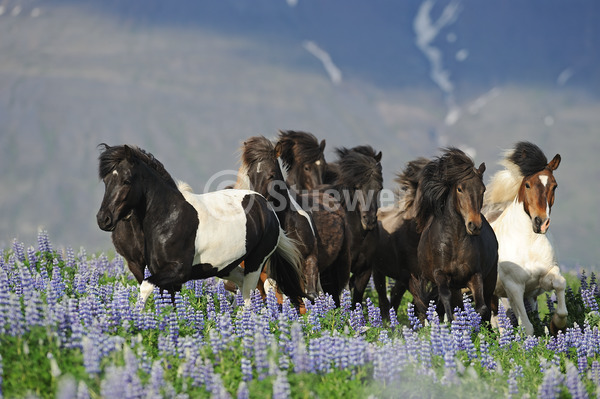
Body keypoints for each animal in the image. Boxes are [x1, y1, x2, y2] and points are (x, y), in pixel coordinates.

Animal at [97, 144, 310, 306]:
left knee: (253, 293)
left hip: (256, 262)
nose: (103, 219)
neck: (168, 218)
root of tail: (267, 208)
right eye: (106, 181)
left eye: (126, 180)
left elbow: (145, 287)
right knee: (244, 286)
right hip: (226, 268)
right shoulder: (163, 276)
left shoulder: (177, 271)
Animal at [412, 148, 496, 324]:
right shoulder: (440, 275)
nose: (474, 225)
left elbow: (482, 308)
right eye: (460, 189)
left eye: (483, 190)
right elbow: (446, 301)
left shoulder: (475, 275)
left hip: (490, 278)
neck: (455, 242)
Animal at [482, 142, 568, 336]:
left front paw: (557, 324)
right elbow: (527, 327)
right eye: (527, 184)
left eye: (554, 186)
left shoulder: (542, 279)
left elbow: (560, 285)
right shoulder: (514, 287)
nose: (541, 222)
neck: (528, 242)